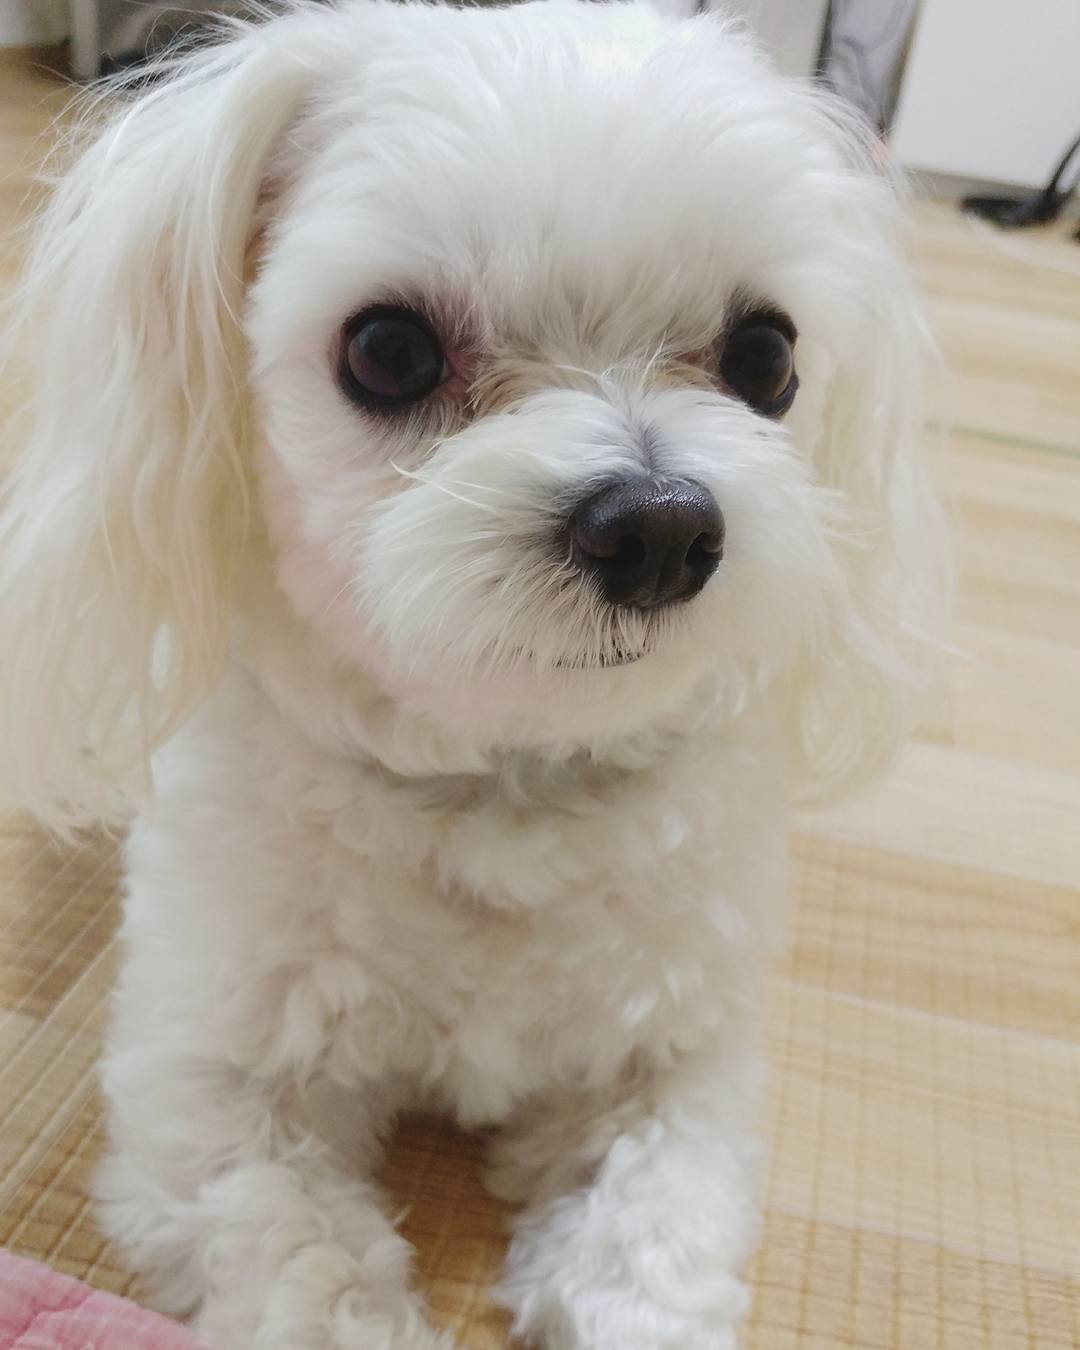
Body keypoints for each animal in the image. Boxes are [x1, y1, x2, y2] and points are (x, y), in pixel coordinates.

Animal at [0, 2, 946, 1346]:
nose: (658, 529)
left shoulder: (671, 1064)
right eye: (388, 349)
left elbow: (653, 1251)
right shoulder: (209, 1096)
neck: (500, 779)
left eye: (767, 357)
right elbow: (307, 1271)